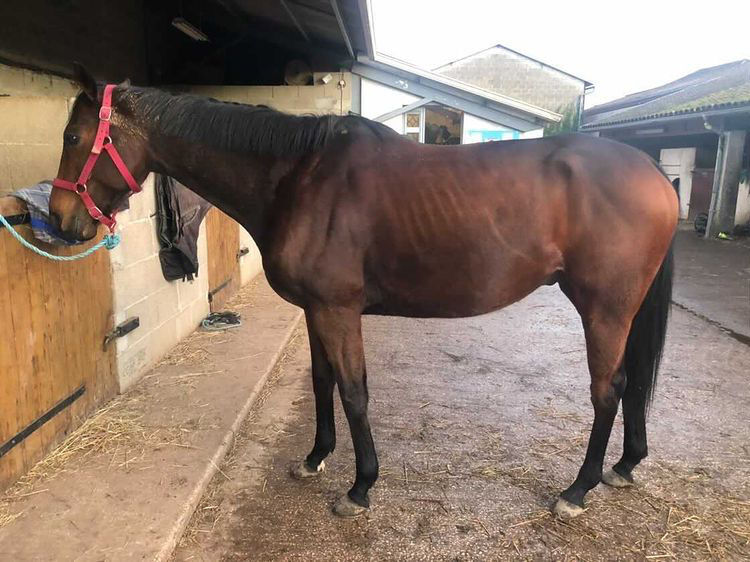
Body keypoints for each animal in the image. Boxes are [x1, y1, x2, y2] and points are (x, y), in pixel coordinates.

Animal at [50, 64, 678, 519]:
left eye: (74, 136)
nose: (59, 221)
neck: (299, 176)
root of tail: (652, 170)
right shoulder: (315, 310)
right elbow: (323, 381)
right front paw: (315, 458)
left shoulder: (337, 309)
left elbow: (354, 391)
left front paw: (360, 488)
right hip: (625, 310)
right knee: (630, 384)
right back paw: (625, 465)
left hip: (604, 309)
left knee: (608, 390)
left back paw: (577, 491)